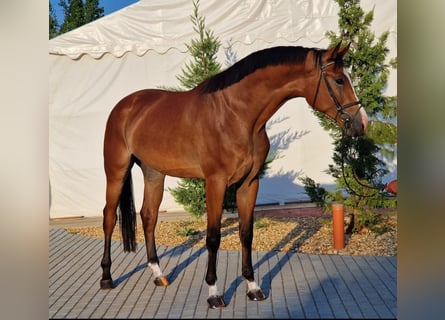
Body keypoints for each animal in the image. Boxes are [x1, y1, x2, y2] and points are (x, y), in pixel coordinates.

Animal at [100, 42, 368, 308]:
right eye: (339, 80)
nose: (362, 123)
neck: (236, 115)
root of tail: (125, 105)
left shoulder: (249, 183)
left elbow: (246, 233)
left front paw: (253, 287)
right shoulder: (215, 182)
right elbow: (213, 237)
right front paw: (214, 293)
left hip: (154, 173)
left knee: (149, 216)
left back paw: (158, 274)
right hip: (116, 171)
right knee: (109, 218)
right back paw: (106, 278)